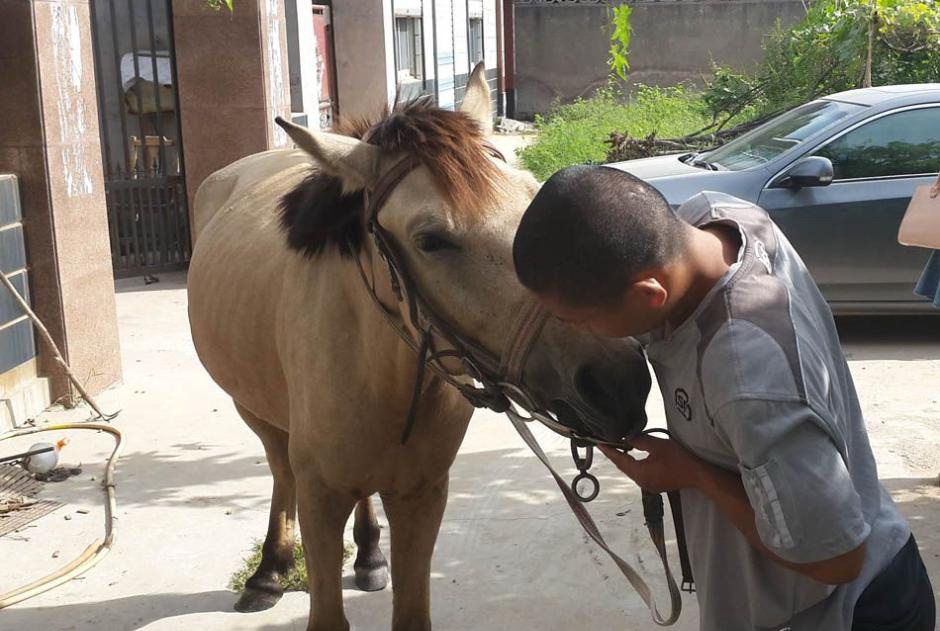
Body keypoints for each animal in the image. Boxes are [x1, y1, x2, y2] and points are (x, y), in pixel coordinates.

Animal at [187, 65, 651, 631]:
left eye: (531, 197)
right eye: (431, 240)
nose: (619, 381)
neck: (380, 373)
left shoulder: (424, 492)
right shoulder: (320, 497)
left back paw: (369, 554)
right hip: (254, 410)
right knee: (279, 469)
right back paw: (270, 571)